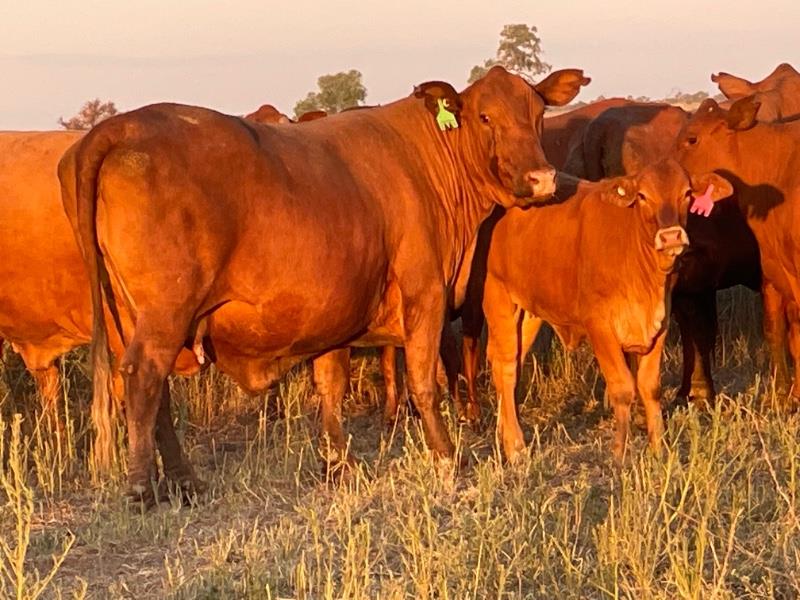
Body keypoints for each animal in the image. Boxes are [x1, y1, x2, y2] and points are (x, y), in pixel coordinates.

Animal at [59, 67, 588, 502]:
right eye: (484, 116)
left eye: (538, 112)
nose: (541, 179)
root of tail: (122, 125)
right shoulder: (425, 292)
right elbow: (425, 382)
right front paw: (446, 457)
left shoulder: (338, 311)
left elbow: (330, 385)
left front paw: (339, 463)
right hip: (165, 312)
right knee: (143, 378)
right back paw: (142, 487)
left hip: (133, 314)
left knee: (156, 390)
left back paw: (185, 480)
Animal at [462, 157, 732, 462]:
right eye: (642, 196)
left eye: (686, 193)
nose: (671, 236)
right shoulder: (600, 326)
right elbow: (623, 388)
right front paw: (619, 454)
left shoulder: (659, 324)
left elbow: (650, 387)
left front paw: (659, 449)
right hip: (500, 300)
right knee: (505, 366)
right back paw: (516, 446)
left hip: (529, 311)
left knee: (510, 363)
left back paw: (504, 432)